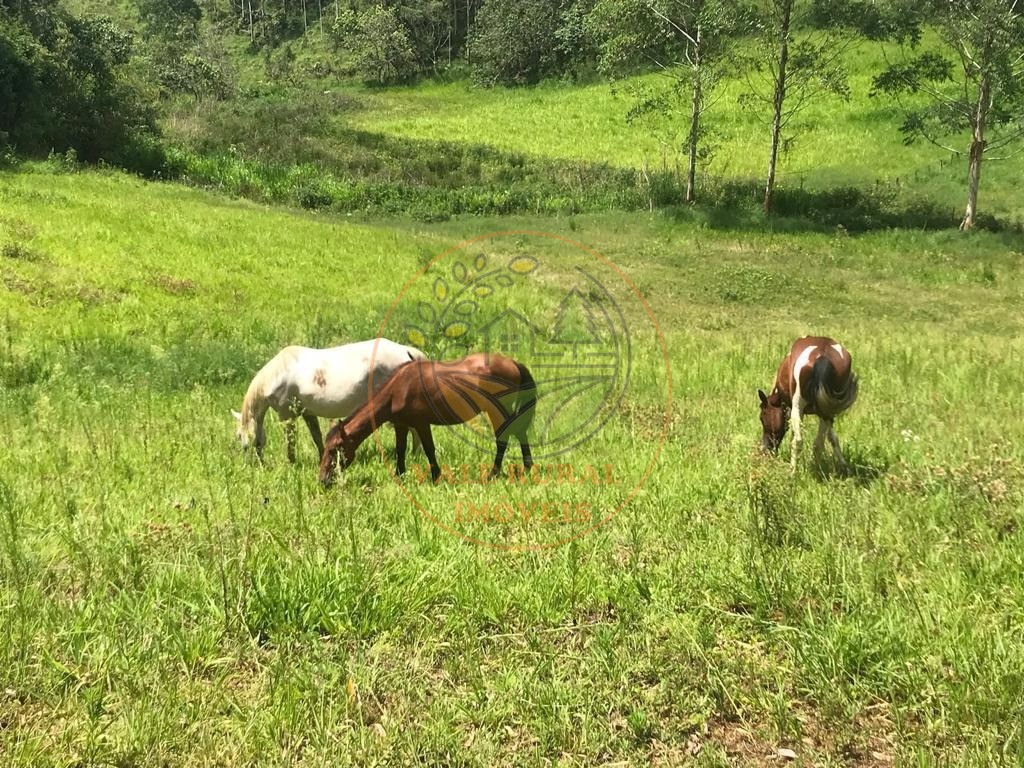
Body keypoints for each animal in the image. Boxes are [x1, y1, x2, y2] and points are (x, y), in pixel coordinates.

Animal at [234, 337, 425, 462]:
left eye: (241, 437)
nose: (253, 464)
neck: (278, 372)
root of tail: (406, 351)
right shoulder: (307, 413)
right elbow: (316, 437)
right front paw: (322, 457)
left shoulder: (287, 416)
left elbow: (290, 441)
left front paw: (291, 463)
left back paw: (413, 455)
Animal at [317, 354, 536, 487]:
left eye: (335, 449)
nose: (322, 480)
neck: (399, 390)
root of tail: (514, 363)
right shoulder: (401, 425)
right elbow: (400, 449)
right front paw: (400, 475)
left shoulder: (421, 424)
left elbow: (429, 449)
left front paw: (436, 477)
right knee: (518, 433)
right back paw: (527, 467)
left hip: (497, 410)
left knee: (503, 439)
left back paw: (494, 473)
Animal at [757, 337, 860, 475]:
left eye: (762, 417)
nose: (765, 449)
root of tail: (822, 357)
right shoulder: (826, 412)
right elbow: (832, 438)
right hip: (826, 410)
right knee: (821, 443)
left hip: (799, 407)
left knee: (798, 441)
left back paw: (792, 472)